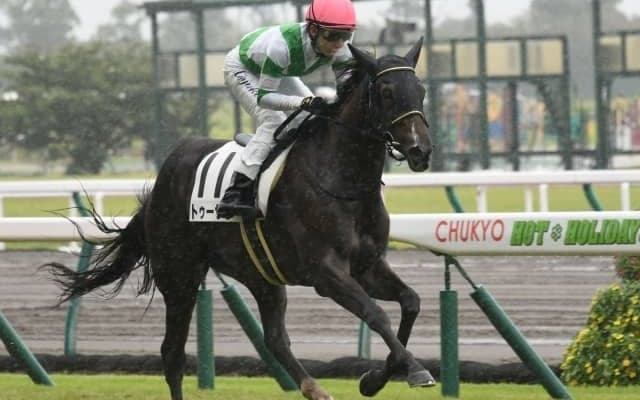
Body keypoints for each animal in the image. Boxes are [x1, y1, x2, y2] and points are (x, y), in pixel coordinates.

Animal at [43, 39, 434, 400]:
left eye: (421, 90)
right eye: (386, 92)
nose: (421, 151)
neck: (341, 181)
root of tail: (160, 184)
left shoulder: (367, 265)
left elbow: (411, 301)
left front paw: (375, 378)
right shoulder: (327, 272)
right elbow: (376, 314)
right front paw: (414, 371)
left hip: (261, 273)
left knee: (274, 339)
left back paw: (314, 388)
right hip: (180, 274)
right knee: (172, 353)